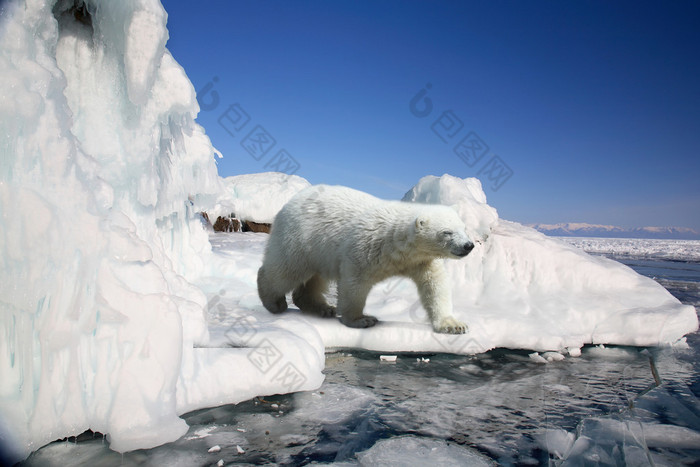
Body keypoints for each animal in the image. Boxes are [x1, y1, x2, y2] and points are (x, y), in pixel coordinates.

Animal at [258, 185, 476, 334]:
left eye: (463, 228)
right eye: (447, 232)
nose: (469, 245)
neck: (398, 244)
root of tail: (289, 202)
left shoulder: (421, 260)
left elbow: (435, 284)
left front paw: (453, 325)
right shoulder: (366, 247)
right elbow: (355, 282)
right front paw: (362, 320)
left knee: (314, 278)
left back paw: (322, 308)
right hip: (300, 238)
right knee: (286, 270)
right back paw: (274, 302)